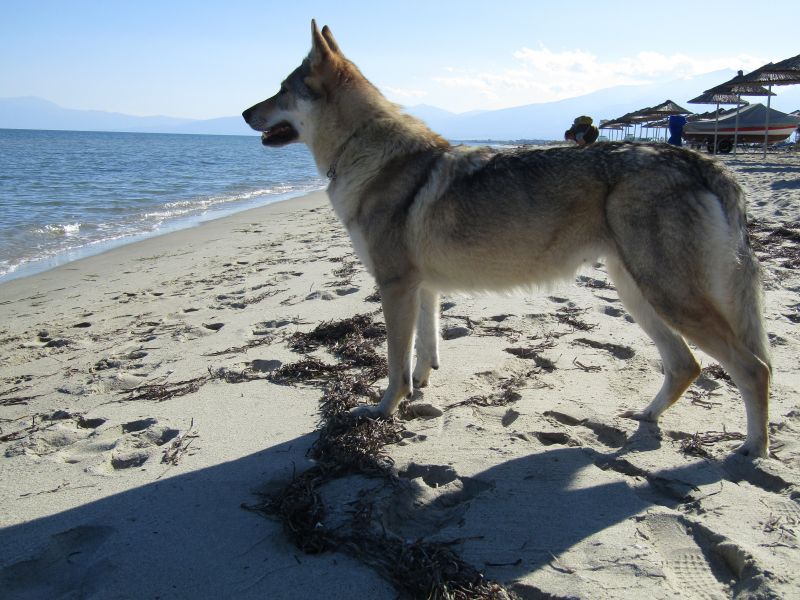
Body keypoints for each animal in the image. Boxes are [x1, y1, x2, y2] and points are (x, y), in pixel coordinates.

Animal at [243, 21, 771, 458]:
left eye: (281, 91)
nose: (244, 112)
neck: (365, 154)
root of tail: (702, 161)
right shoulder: (421, 289)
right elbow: (425, 350)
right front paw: (421, 388)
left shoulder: (394, 287)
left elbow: (394, 362)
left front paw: (384, 409)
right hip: (639, 296)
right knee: (687, 366)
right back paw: (644, 418)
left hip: (667, 298)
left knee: (754, 369)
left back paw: (751, 452)